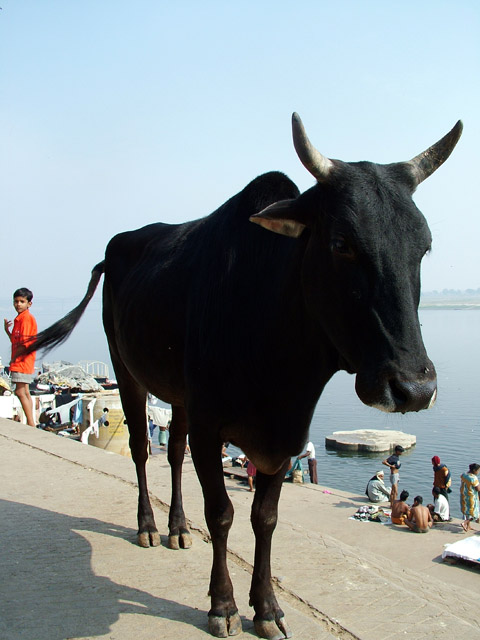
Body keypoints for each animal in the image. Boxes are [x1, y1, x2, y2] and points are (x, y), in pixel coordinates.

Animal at [28, 113, 462, 639]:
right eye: (341, 243)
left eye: (424, 247)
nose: (415, 387)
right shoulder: (212, 428)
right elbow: (222, 514)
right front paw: (223, 604)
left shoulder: (286, 436)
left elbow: (265, 518)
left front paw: (268, 606)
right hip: (126, 369)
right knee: (141, 450)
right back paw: (149, 526)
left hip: (180, 397)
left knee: (173, 452)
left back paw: (177, 528)